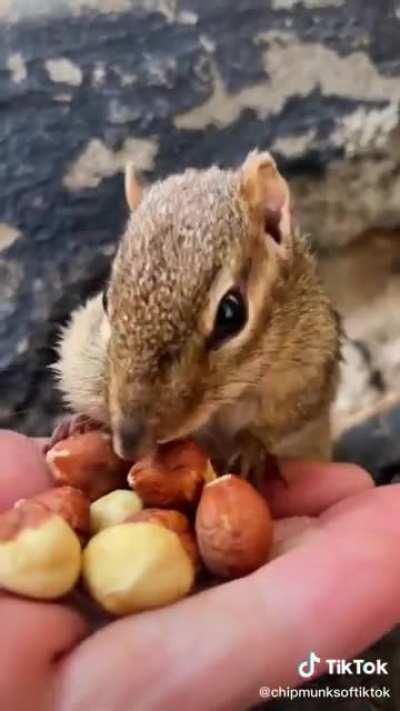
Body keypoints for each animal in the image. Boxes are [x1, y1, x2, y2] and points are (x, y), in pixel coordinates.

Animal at [53, 150, 340, 477]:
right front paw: (78, 422)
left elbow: (286, 417)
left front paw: (251, 448)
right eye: (104, 299)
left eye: (231, 314)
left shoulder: (309, 370)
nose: (129, 444)